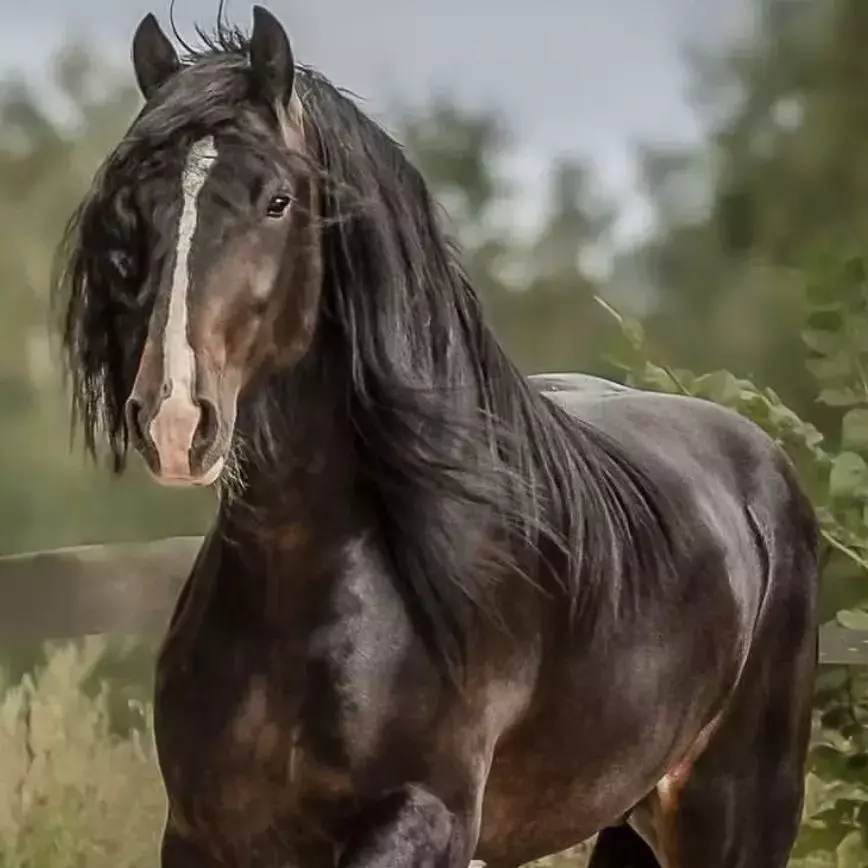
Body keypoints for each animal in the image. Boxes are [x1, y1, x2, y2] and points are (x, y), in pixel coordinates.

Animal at [52, 7, 821, 868]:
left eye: (278, 200)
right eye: (133, 207)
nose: (176, 419)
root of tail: (762, 468)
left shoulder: (423, 817)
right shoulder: (202, 834)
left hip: (732, 814)